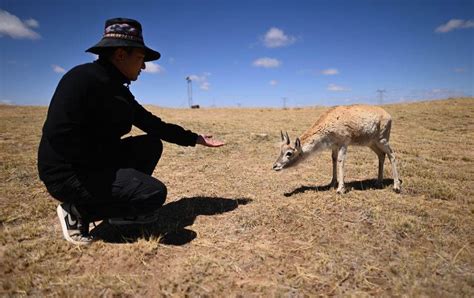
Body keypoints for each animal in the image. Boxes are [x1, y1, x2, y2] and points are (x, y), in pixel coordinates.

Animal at [272, 105, 402, 193]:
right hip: (372, 143)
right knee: (381, 155)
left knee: (392, 154)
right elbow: (333, 160)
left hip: (382, 140)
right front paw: (332, 183)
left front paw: (340, 189)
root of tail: (388, 115)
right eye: (280, 150)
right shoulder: (334, 146)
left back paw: (396, 186)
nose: (275, 166)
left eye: (289, 153)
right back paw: (378, 182)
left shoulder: (344, 143)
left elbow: (340, 160)